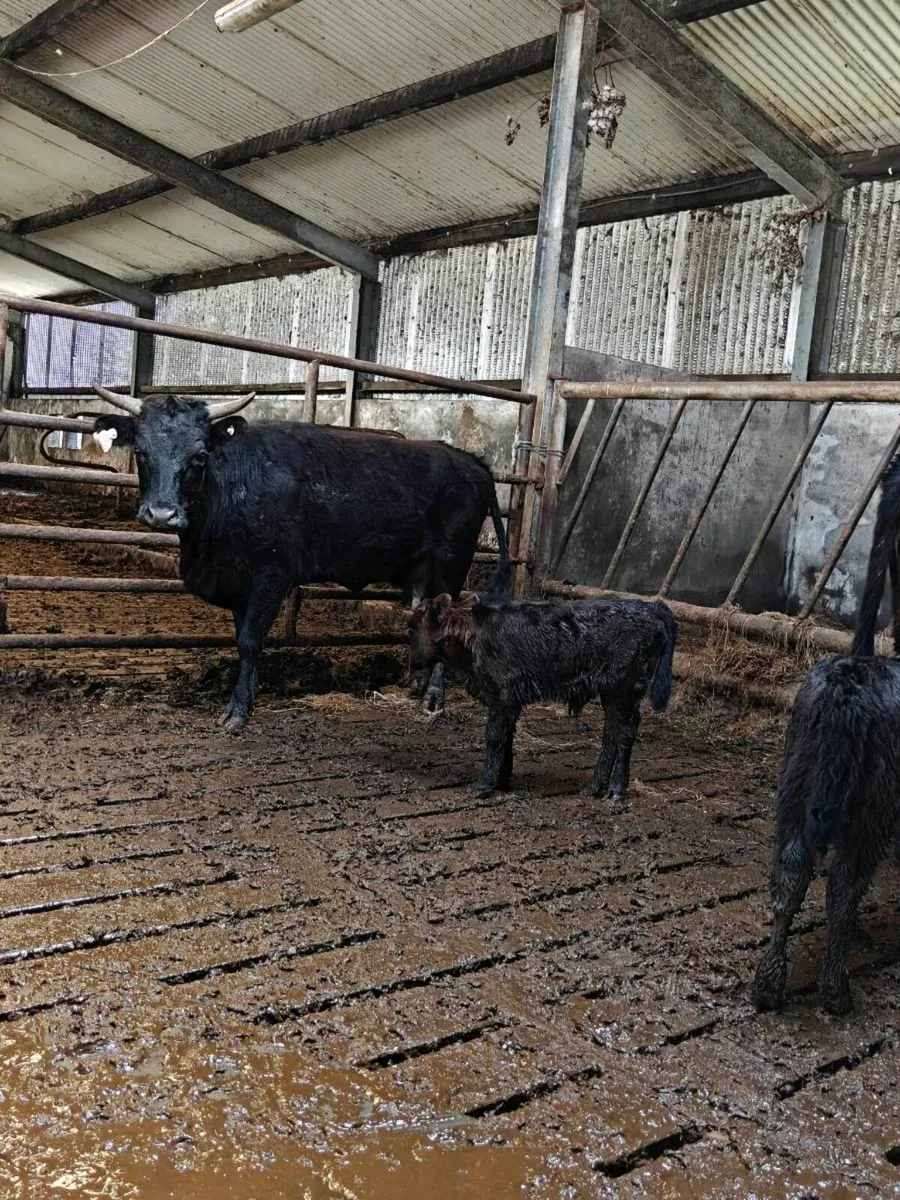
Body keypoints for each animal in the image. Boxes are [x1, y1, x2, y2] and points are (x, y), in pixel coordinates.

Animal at [91, 387, 510, 732]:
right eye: (140, 452)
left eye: (199, 456)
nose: (161, 514)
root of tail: (469, 460)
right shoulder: (237, 583)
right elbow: (241, 638)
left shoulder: (270, 575)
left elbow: (250, 641)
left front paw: (239, 711)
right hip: (422, 568)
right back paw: (415, 685)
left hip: (451, 563)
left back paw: (434, 698)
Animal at [409, 590, 676, 797]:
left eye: (412, 630)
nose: (412, 666)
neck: (473, 632)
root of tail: (651, 607)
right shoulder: (511, 703)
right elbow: (507, 737)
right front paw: (502, 780)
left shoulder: (502, 698)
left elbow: (494, 736)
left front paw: (484, 785)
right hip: (611, 694)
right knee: (610, 733)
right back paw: (593, 787)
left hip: (626, 691)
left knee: (624, 733)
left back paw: (617, 790)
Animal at [753, 454, 900, 1016]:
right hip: (872, 805)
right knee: (842, 885)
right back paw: (836, 989)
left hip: (796, 784)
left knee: (790, 871)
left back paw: (768, 983)